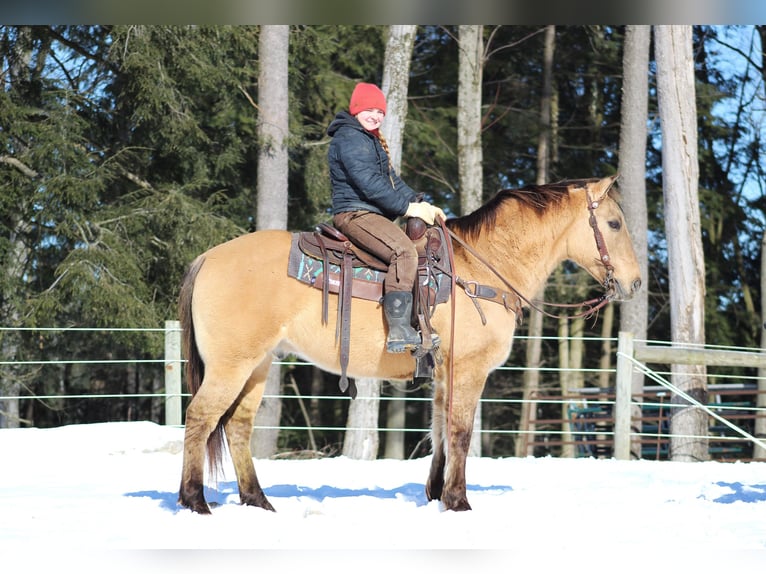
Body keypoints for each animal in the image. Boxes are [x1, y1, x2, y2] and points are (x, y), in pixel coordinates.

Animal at [178, 177, 640, 516]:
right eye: (615, 224)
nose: (635, 283)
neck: (480, 269)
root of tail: (207, 258)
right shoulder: (468, 372)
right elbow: (460, 433)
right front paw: (458, 502)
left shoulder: (444, 374)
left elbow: (439, 432)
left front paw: (435, 494)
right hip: (231, 365)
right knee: (200, 417)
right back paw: (195, 501)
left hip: (257, 365)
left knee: (237, 425)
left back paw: (258, 501)